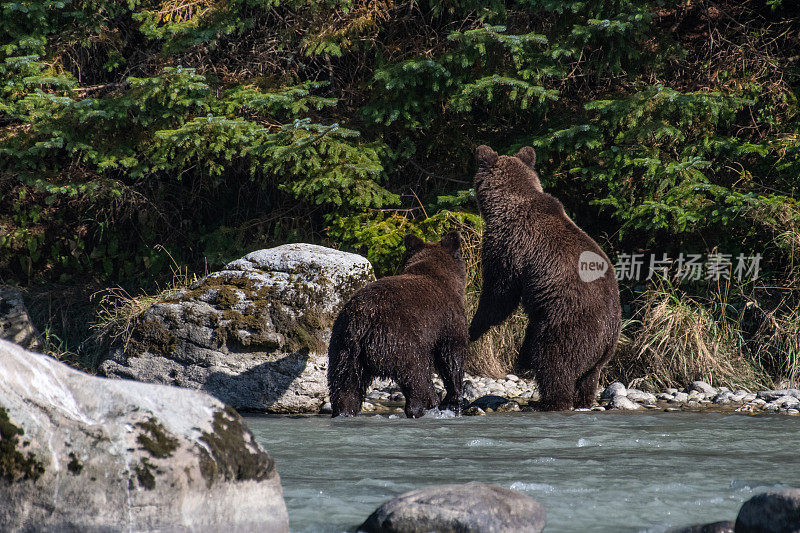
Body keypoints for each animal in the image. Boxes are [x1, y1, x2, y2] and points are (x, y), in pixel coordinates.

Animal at [328, 231, 468, 418]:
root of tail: (363, 322)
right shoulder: (449, 318)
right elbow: (451, 355)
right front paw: (455, 399)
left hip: (344, 348)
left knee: (345, 385)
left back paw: (344, 411)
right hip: (401, 340)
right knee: (416, 374)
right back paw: (427, 404)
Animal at [472, 145, 620, 412]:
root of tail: (608, 336)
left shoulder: (509, 246)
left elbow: (499, 295)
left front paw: (473, 327)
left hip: (568, 321)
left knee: (553, 360)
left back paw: (547, 401)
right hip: (597, 354)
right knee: (586, 378)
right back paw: (582, 399)